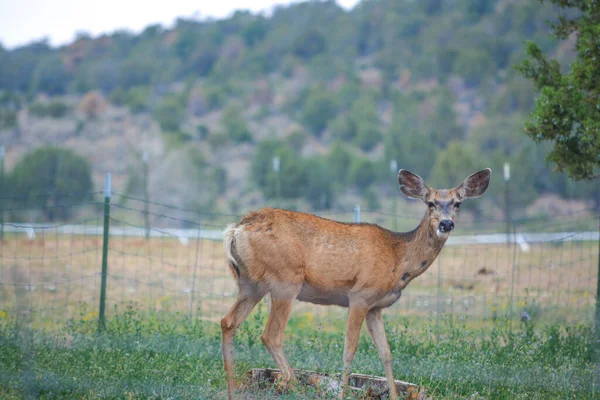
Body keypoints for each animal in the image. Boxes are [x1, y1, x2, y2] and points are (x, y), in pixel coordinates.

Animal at [220, 167, 492, 398]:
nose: (446, 223)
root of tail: (236, 229)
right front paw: (342, 394)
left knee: (228, 322)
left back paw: (233, 391)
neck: (398, 257)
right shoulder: (360, 295)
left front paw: (394, 395)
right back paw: (296, 389)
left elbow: (386, 353)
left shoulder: (376, 307)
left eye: (457, 203)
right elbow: (349, 352)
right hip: (285, 280)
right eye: (430, 203)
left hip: (250, 284)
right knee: (271, 335)